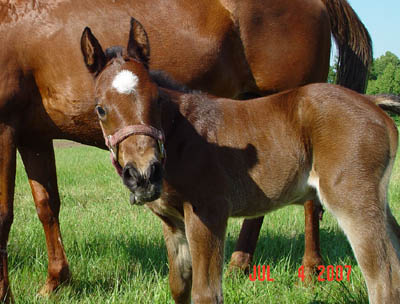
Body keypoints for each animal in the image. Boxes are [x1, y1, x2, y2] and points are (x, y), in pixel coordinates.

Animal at [81, 21, 400, 304]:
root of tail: (371, 102)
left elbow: (206, 294)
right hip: (376, 201)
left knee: (382, 278)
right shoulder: (172, 222)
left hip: (352, 200)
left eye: (156, 99)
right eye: (100, 109)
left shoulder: (209, 213)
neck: (181, 135)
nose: (144, 175)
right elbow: (179, 287)